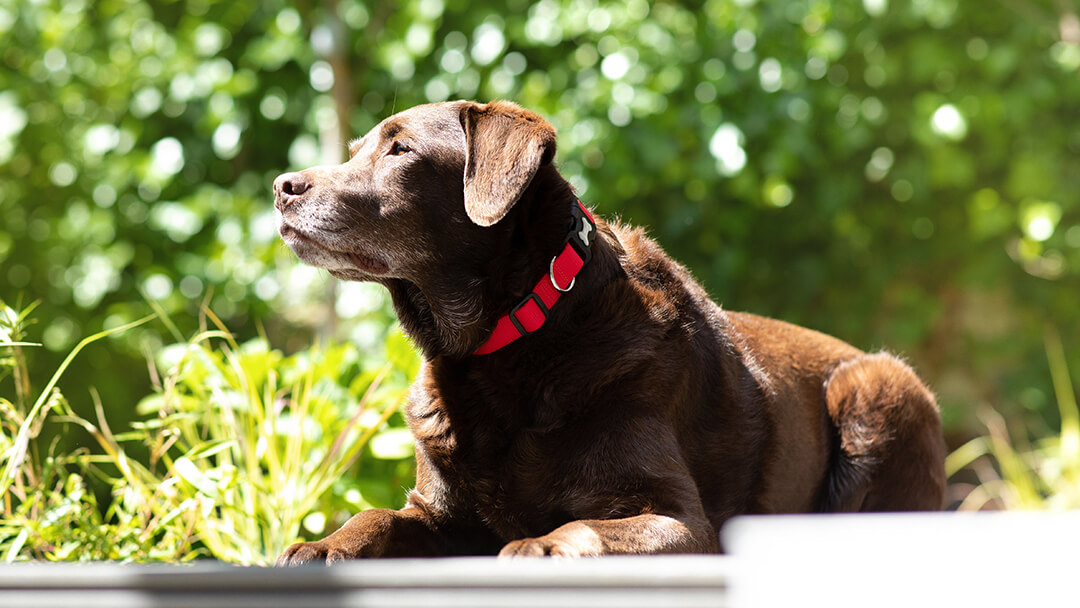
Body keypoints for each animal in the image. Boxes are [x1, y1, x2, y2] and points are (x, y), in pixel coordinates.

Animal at [272, 99, 946, 561]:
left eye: (401, 151)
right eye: (356, 148)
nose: (283, 187)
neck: (503, 348)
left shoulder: (681, 521)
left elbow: (582, 526)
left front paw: (535, 545)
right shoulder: (436, 513)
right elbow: (378, 516)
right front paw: (325, 544)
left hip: (879, 387)